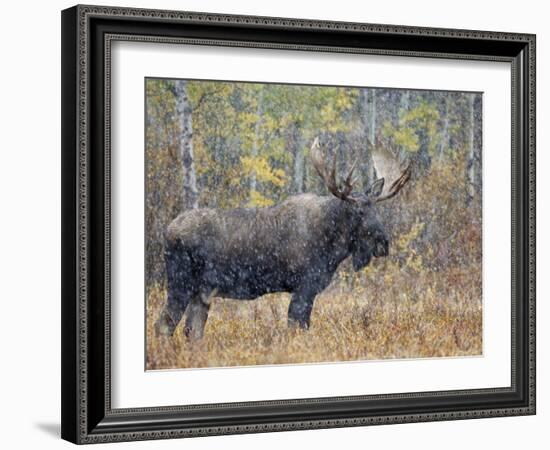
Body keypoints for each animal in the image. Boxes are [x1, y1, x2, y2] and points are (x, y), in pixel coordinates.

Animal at [153, 139, 412, 340]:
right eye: (358, 212)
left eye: (376, 209)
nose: (384, 243)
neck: (333, 248)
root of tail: (166, 231)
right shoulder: (305, 286)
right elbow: (298, 328)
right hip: (180, 282)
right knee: (164, 325)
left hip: (202, 292)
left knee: (192, 331)